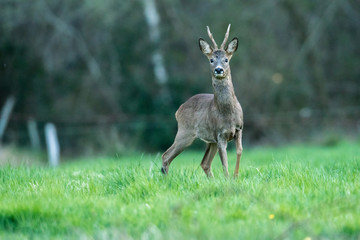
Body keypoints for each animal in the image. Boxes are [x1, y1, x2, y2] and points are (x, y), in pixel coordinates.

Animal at [162, 24, 243, 178]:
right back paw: (166, 179)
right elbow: (224, 162)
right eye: (211, 60)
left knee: (204, 163)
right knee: (166, 156)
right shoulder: (219, 134)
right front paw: (228, 179)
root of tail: (178, 110)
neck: (227, 113)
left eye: (226, 59)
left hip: (209, 140)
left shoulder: (238, 129)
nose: (218, 70)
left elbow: (239, 151)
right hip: (185, 132)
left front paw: (235, 177)